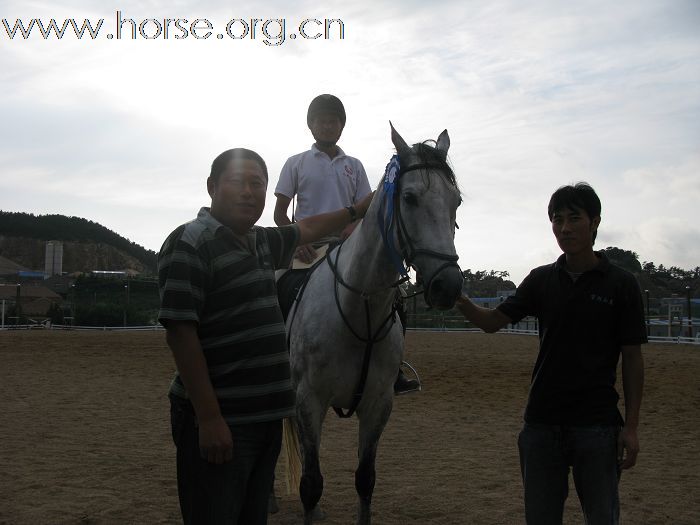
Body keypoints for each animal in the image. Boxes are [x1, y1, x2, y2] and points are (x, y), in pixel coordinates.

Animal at [284, 125, 464, 520]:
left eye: (456, 201)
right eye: (409, 198)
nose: (448, 285)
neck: (357, 308)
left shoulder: (378, 404)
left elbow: (365, 480)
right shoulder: (309, 401)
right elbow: (311, 485)